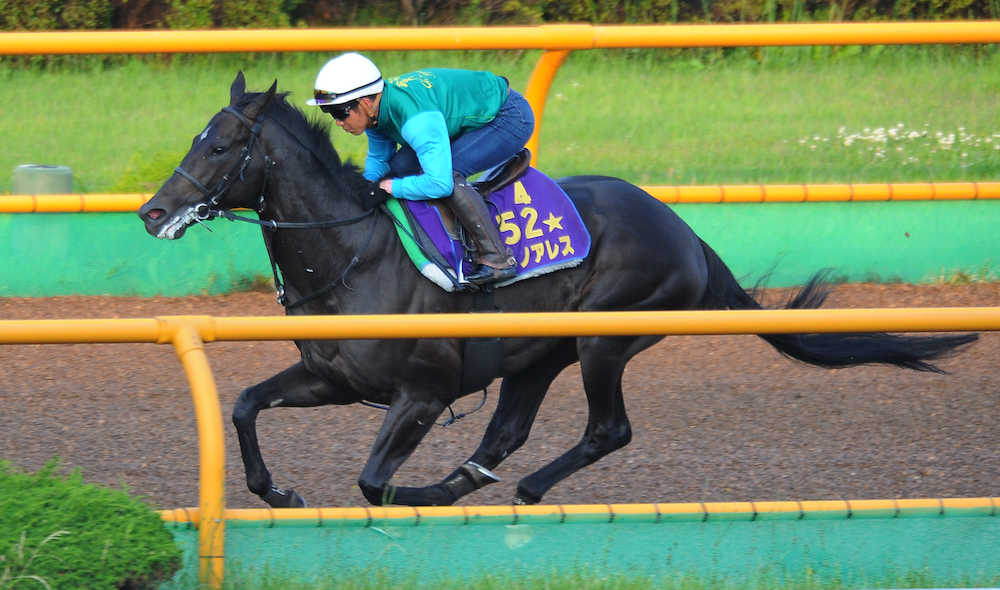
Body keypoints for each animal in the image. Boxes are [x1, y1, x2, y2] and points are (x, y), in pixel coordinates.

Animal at [137, 74, 972, 508]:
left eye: (220, 145)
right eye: (192, 138)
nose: (150, 212)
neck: (354, 256)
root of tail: (683, 229)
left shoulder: (422, 391)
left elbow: (372, 481)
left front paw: (382, 496)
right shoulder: (332, 378)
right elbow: (244, 405)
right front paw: (274, 492)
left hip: (605, 336)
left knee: (608, 431)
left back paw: (523, 490)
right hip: (537, 352)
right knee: (505, 432)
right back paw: (459, 485)